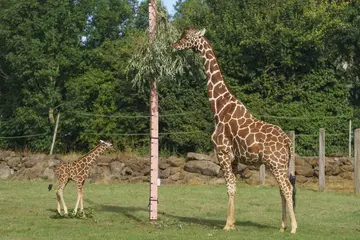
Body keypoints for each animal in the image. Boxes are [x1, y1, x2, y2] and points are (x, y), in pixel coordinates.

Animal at [173, 27, 296, 232]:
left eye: (186, 36)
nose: (173, 45)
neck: (219, 107)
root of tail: (288, 141)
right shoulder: (234, 159)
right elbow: (234, 188)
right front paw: (232, 223)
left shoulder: (222, 153)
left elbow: (229, 188)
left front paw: (227, 225)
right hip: (281, 164)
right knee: (282, 189)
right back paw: (282, 227)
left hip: (276, 164)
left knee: (287, 187)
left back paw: (294, 227)